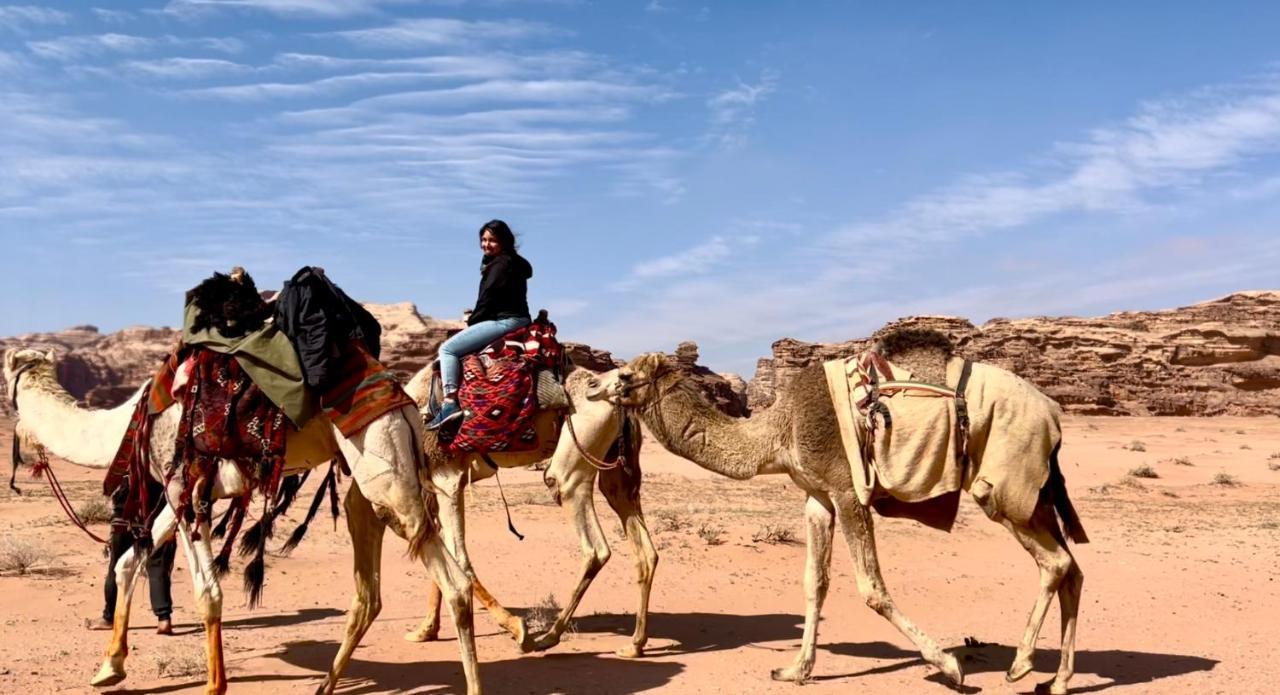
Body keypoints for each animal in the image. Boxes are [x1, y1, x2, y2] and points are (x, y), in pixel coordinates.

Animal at [1, 348, 481, 695]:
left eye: (8, 374)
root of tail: (407, 405)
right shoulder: (181, 493)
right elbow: (127, 564)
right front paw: (109, 667)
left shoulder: (182, 484)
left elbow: (207, 592)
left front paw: (214, 686)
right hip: (370, 480)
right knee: (373, 590)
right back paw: (325, 685)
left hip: (384, 466)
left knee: (454, 581)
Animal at [399, 366, 660, 660]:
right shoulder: (441, 483)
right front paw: (425, 630)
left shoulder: (448, 477)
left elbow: (459, 557)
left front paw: (518, 629)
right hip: (616, 473)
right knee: (646, 552)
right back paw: (635, 644)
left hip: (572, 466)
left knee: (595, 547)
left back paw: (549, 637)